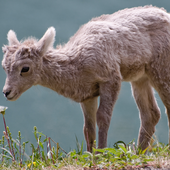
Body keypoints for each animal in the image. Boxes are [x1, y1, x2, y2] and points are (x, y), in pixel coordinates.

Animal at [1, 5, 170, 152]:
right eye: (4, 66)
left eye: (25, 68)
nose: (7, 92)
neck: (77, 63)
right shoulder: (88, 94)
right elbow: (88, 127)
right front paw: (91, 156)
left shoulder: (111, 80)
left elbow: (102, 118)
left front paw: (102, 153)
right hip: (140, 78)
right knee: (151, 114)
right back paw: (139, 153)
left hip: (160, 71)